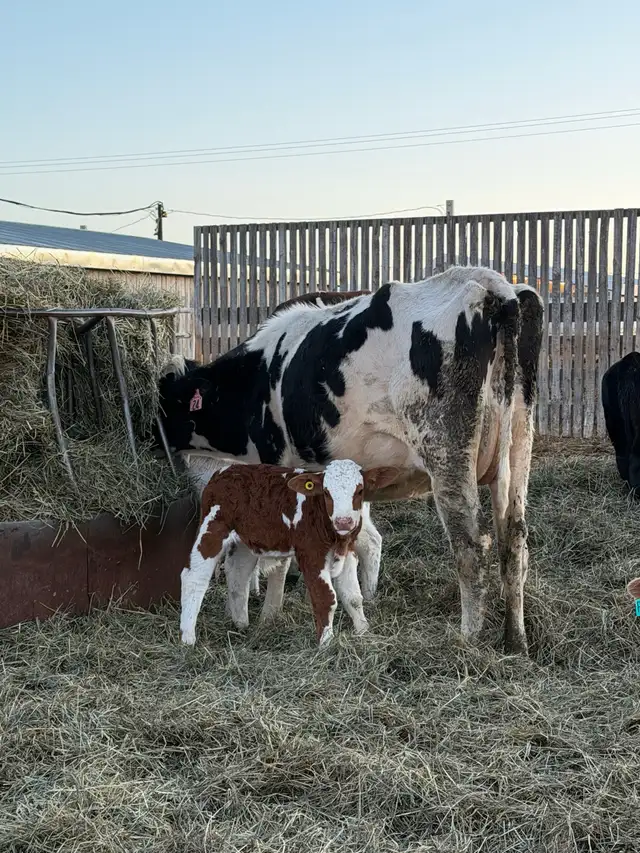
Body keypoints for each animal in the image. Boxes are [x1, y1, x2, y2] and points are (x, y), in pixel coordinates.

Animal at [157, 266, 544, 654]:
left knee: (471, 550)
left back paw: (468, 640)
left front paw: (270, 615)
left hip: (448, 456)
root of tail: (497, 287)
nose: (155, 444)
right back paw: (516, 640)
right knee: (515, 543)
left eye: (165, 403)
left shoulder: (277, 462)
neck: (259, 376)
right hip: (517, 450)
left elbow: (279, 558)